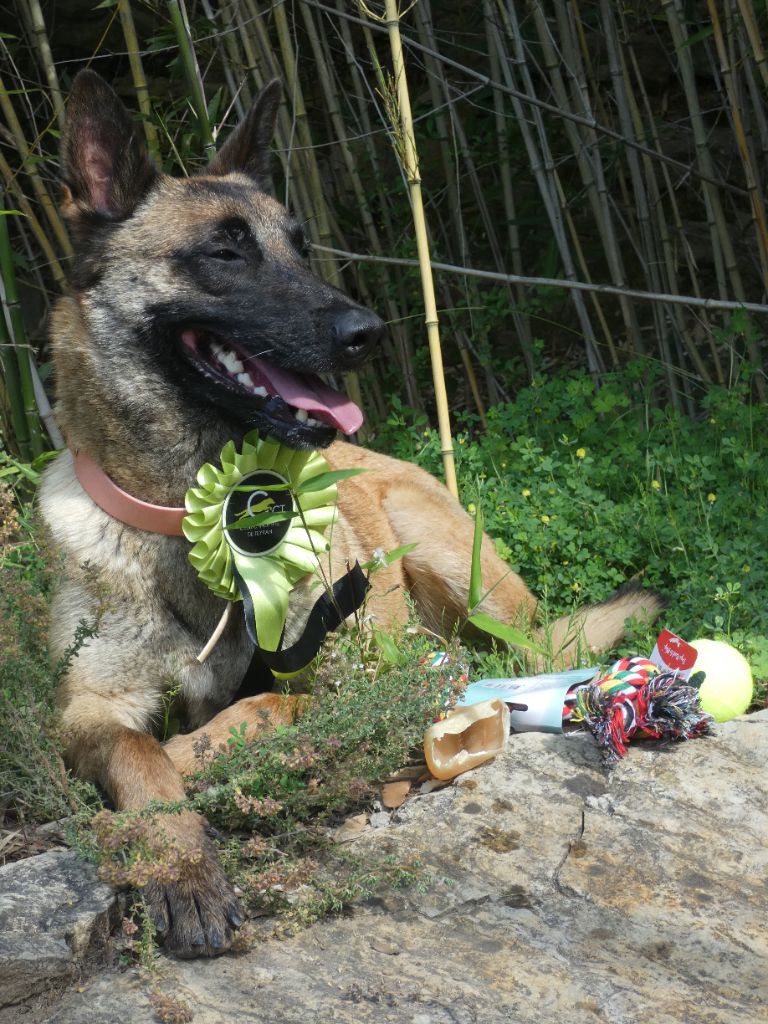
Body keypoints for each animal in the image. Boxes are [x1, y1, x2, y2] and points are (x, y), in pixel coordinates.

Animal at [37, 72, 663, 958]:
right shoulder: (90, 709)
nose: (368, 332)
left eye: (300, 247)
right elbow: (139, 759)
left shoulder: (348, 679)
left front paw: (197, 756)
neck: (199, 512)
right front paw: (181, 866)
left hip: (471, 588)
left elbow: (262, 709)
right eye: (225, 250)